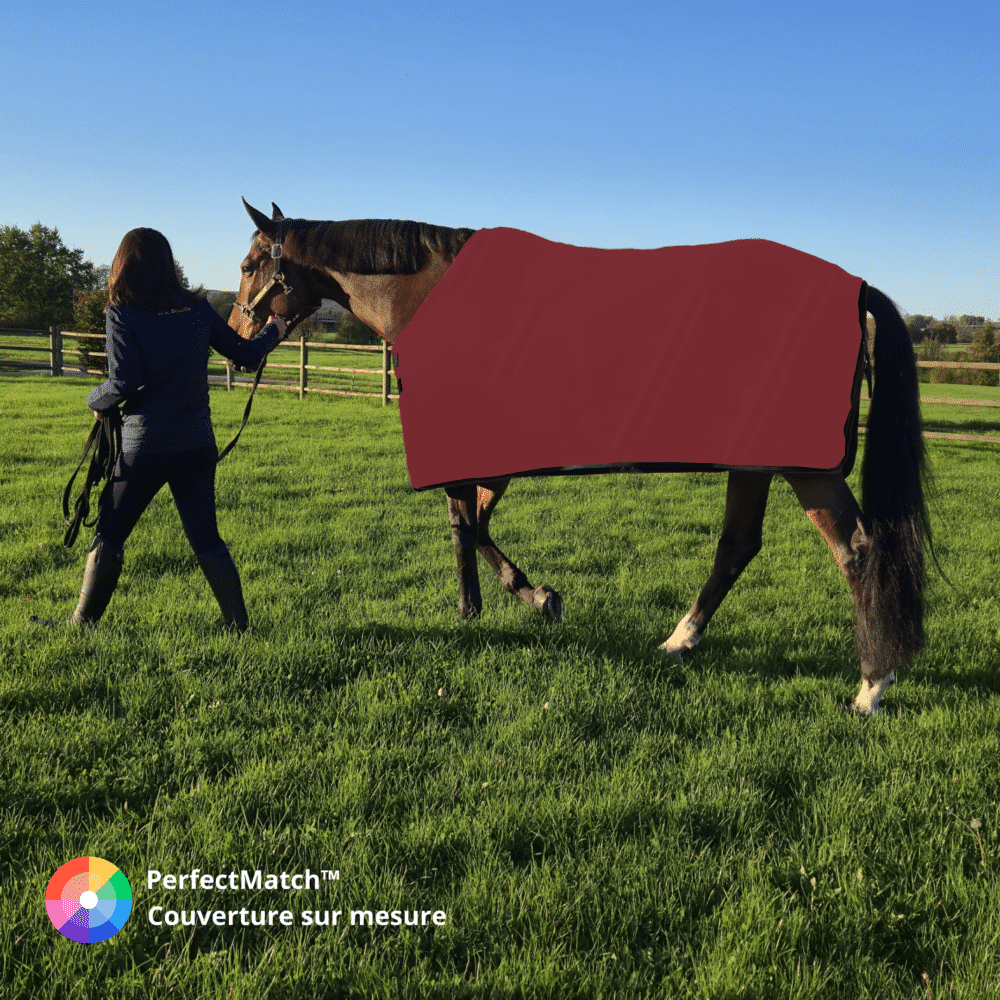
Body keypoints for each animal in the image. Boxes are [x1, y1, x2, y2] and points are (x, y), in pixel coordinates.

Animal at [230, 199, 930, 715]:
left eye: (248, 263)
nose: (236, 338)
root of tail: (855, 288)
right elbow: (475, 521)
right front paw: (530, 598)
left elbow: (463, 523)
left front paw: (496, 604)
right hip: (756, 464)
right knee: (738, 546)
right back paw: (681, 640)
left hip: (806, 468)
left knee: (856, 550)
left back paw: (872, 684)